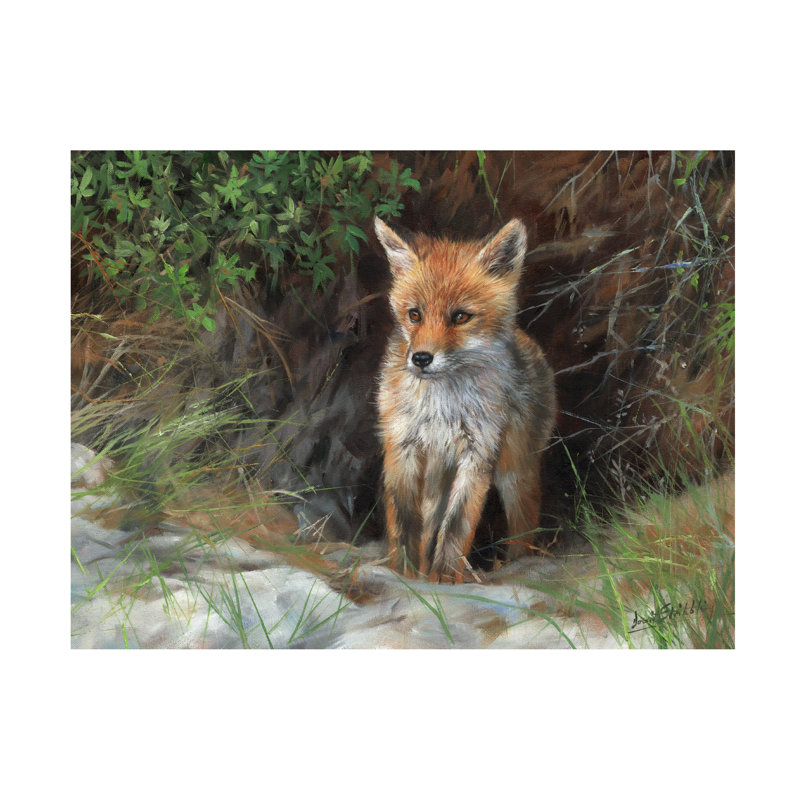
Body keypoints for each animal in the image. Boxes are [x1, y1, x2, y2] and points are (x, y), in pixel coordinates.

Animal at [374, 215, 557, 583]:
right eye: (414, 314)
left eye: (460, 317)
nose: (421, 358)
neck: (441, 406)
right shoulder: (402, 446)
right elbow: (403, 521)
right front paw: (403, 574)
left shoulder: (478, 454)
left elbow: (457, 527)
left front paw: (445, 579)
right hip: (436, 478)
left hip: (515, 470)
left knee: (524, 526)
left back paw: (520, 568)